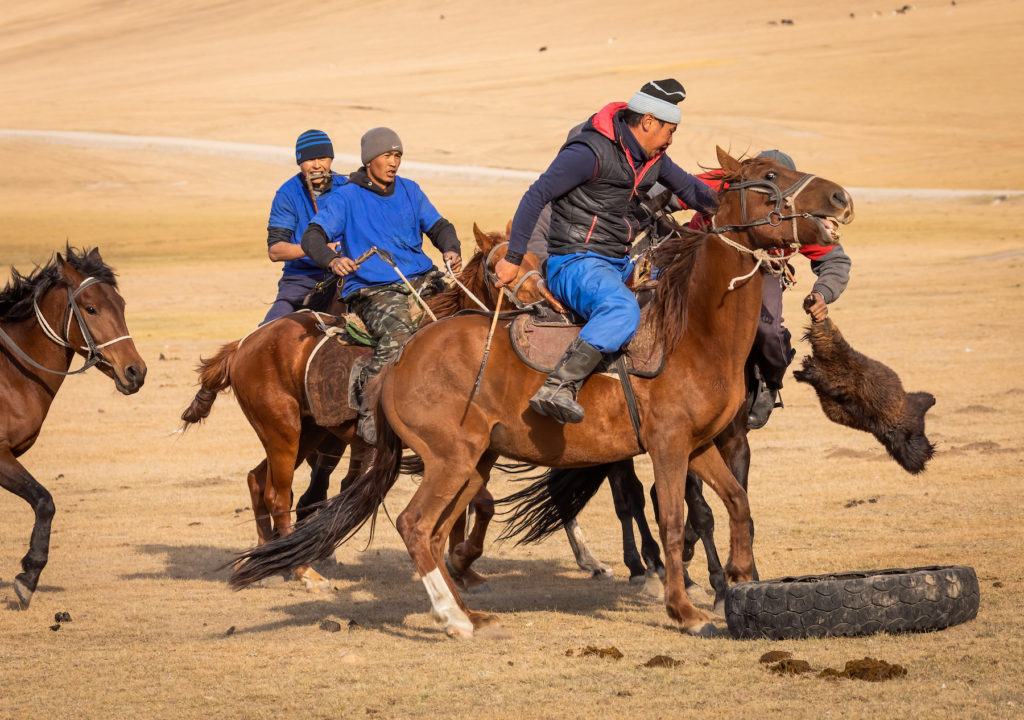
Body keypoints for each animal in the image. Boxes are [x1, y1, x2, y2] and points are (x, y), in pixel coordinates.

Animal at [0, 247, 146, 606]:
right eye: (91, 308)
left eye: (121, 305)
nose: (136, 371)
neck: (11, 374)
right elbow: (44, 501)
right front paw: (28, 576)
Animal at [180, 228, 557, 589]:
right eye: (503, 270)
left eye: (536, 260)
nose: (546, 305)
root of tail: (244, 344)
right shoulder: (442, 452)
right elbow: (477, 503)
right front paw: (461, 561)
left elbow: (467, 506)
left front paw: (464, 569)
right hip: (282, 433)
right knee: (278, 496)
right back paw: (302, 571)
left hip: (307, 434)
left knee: (257, 479)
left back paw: (267, 560)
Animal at [232, 147, 856, 634]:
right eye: (770, 177)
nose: (840, 197)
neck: (692, 329)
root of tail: (400, 360)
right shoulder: (668, 446)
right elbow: (675, 518)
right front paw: (683, 609)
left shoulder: (701, 445)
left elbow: (737, 505)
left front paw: (740, 581)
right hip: (429, 456)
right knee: (405, 522)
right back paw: (451, 618)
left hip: (459, 460)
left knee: (431, 529)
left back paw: (466, 609)